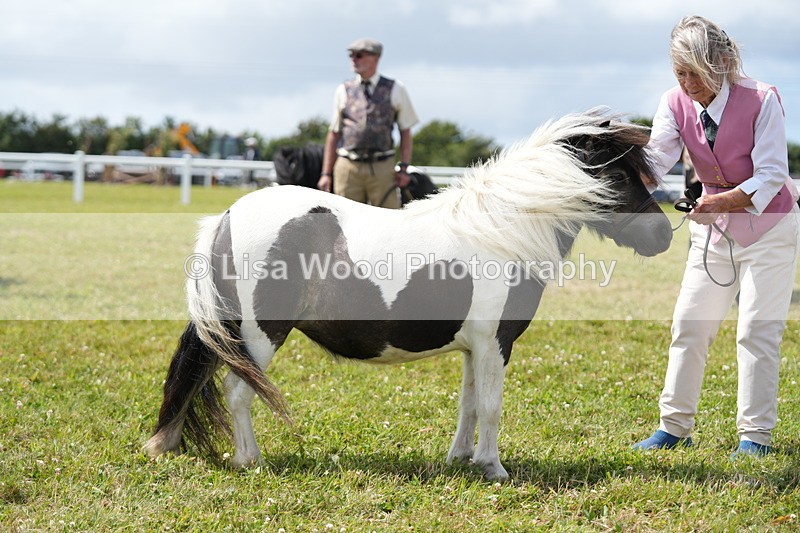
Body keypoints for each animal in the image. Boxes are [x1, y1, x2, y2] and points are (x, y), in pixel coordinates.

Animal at [144, 108, 673, 481]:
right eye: (620, 176)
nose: (664, 235)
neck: (501, 231)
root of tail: (228, 216)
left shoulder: (474, 348)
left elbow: (469, 404)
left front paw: (461, 459)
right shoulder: (496, 343)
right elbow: (492, 406)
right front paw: (494, 468)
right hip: (257, 337)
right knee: (240, 393)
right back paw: (250, 460)